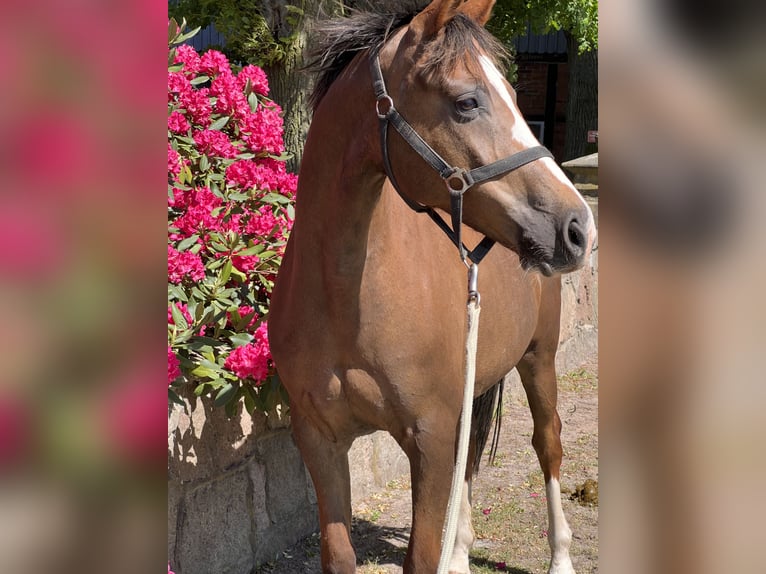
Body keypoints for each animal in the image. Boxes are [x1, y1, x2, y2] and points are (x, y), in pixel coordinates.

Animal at [270, 2, 600, 572]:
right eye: (467, 102)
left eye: (515, 96)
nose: (578, 227)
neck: (345, 300)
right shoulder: (320, 440)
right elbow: (341, 553)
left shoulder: (429, 437)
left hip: (539, 358)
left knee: (549, 443)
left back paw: (560, 556)